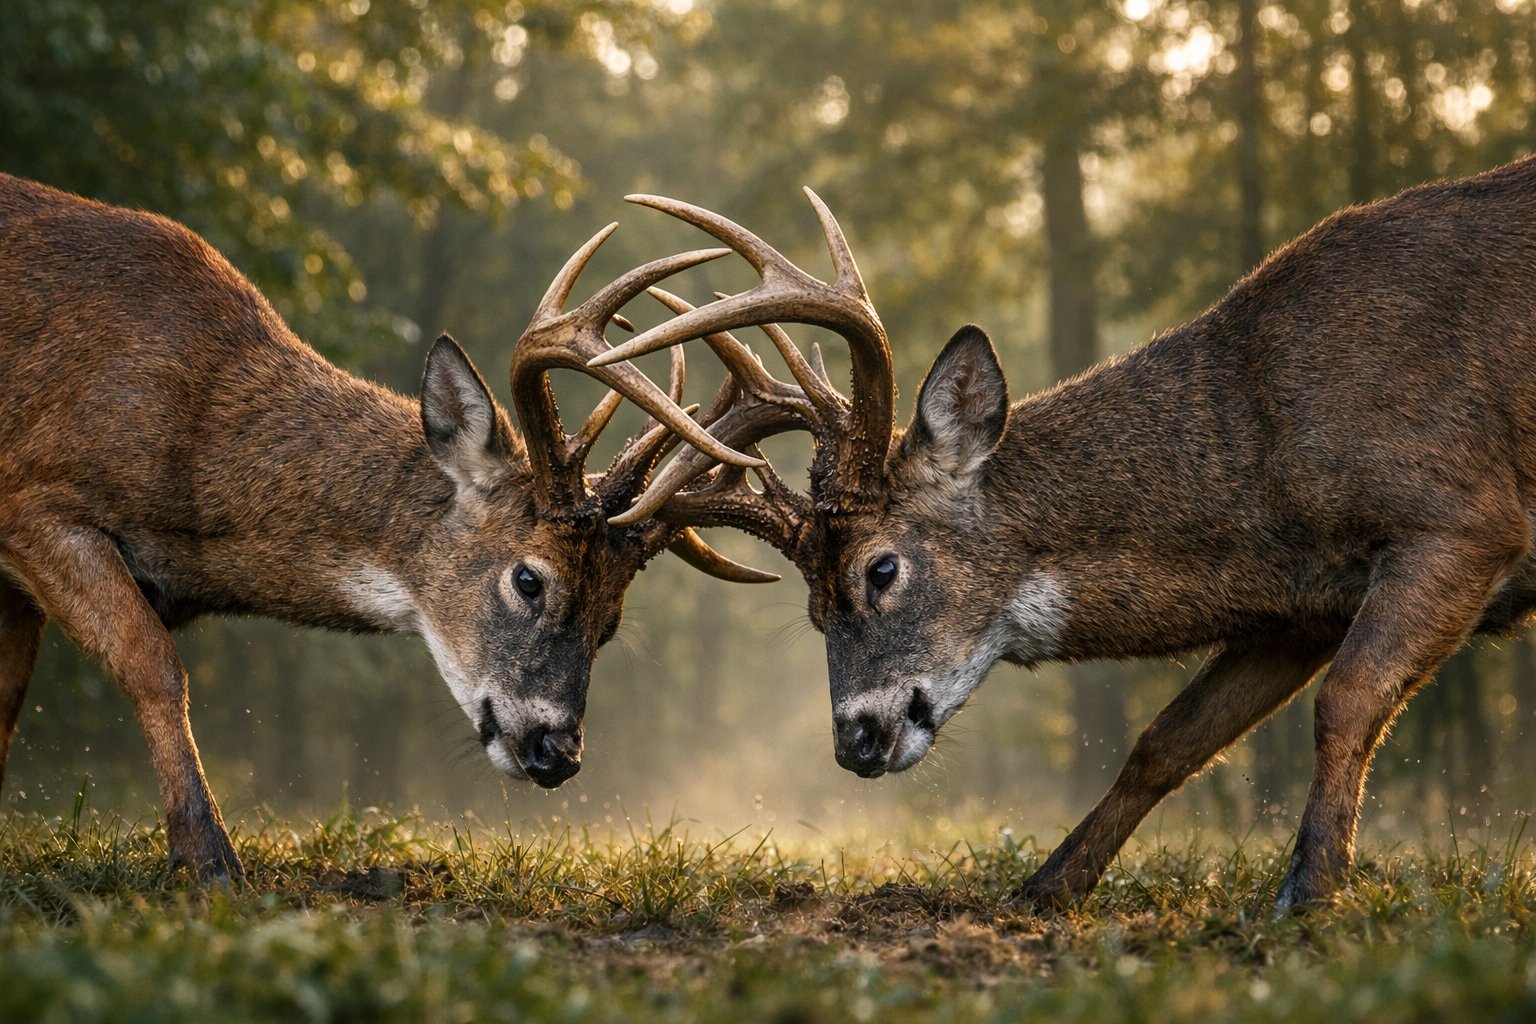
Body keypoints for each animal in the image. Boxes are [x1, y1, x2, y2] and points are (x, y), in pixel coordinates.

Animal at [0, 172, 776, 878]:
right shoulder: (35, 499)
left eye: (609, 621)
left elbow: (9, 699)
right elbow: (153, 663)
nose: (558, 752)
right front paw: (210, 859)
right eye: (529, 579)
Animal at [580, 155, 1536, 911]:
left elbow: (1347, 699)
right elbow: (1168, 741)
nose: (854, 741)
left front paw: (1311, 891)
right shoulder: (1297, 608)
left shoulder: (1460, 516)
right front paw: (1048, 885)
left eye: (882, 569)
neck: (1263, 454)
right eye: (812, 607)